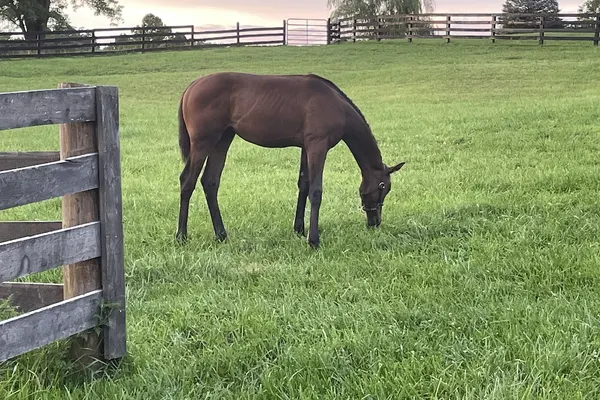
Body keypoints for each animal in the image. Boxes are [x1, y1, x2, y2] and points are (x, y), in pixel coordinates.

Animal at [176, 71, 406, 247]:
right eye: (383, 186)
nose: (375, 221)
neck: (335, 105)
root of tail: (191, 87)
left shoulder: (306, 147)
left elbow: (303, 184)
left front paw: (299, 229)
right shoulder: (317, 146)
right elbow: (316, 191)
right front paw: (313, 240)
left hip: (223, 139)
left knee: (210, 182)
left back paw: (221, 235)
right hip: (203, 142)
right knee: (187, 181)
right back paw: (181, 236)